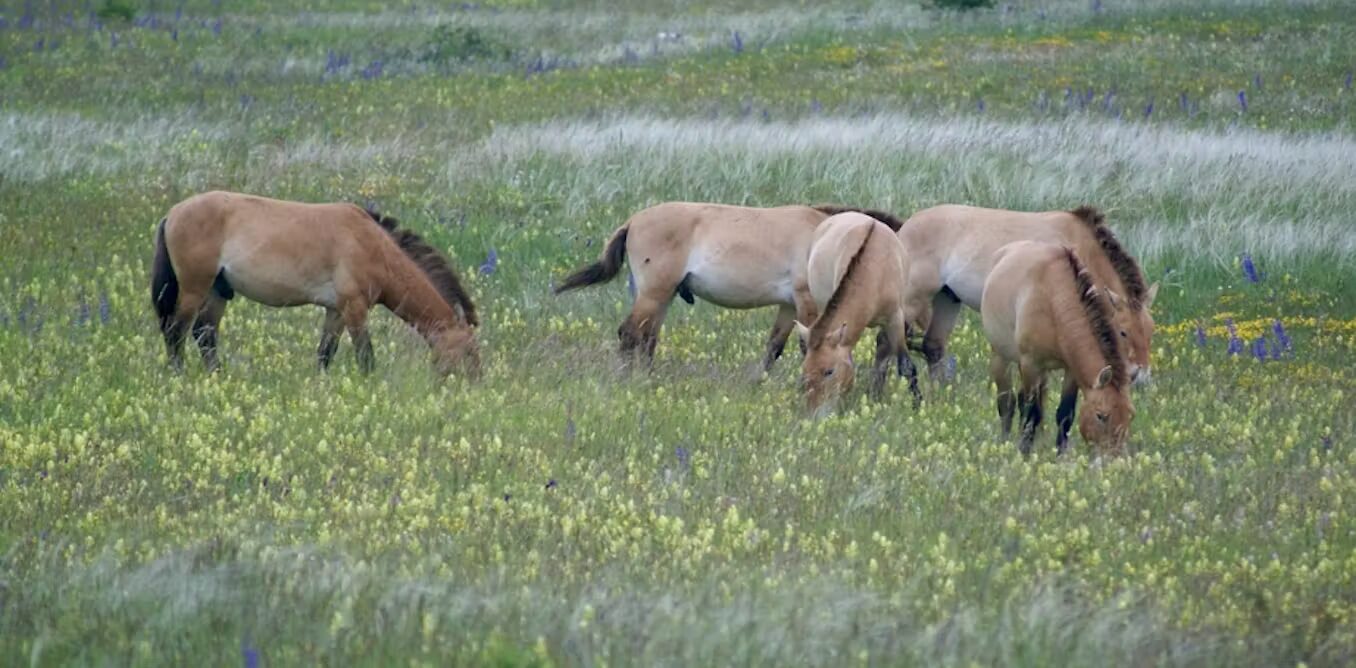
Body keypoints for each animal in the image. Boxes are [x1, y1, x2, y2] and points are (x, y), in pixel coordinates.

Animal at [152, 189, 482, 373]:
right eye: (469, 352)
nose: (474, 387)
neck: (374, 247)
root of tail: (172, 214)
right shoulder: (355, 308)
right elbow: (366, 357)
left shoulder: (336, 310)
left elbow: (325, 354)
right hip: (194, 288)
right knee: (177, 333)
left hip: (219, 291)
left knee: (204, 335)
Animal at [791, 211, 927, 414]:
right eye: (805, 369)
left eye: (829, 371)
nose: (815, 414)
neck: (875, 270)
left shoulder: (895, 318)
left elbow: (906, 366)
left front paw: (917, 405)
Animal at [900, 205, 1155, 387]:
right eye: (1123, 331)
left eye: (1150, 331)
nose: (1141, 376)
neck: (1078, 246)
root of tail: (904, 229)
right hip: (912, 298)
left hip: (948, 299)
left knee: (932, 346)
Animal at [987, 241, 1133, 457]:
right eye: (1101, 416)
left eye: (1130, 415)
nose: (1113, 457)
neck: (1053, 300)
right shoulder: (1031, 364)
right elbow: (1031, 412)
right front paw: (1024, 452)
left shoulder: (1070, 370)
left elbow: (1065, 414)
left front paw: (1060, 454)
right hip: (1001, 357)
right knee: (1008, 403)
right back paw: (1005, 441)